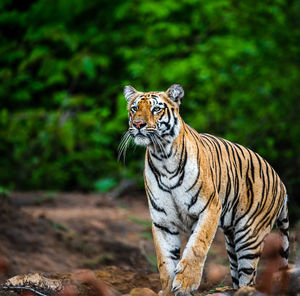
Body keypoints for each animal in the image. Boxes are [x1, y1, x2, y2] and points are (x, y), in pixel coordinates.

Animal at [119, 84, 288, 296]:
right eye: (134, 108)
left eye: (156, 109)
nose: (138, 124)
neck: (162, 156)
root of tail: (280, 180)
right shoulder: (162, 221)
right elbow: (165, 261)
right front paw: (168, 289)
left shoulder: (210, 208)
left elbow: (197, 246)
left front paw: (185, 283)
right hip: (232, 240)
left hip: (249, 235)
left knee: (248, 276)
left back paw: (244, 290)